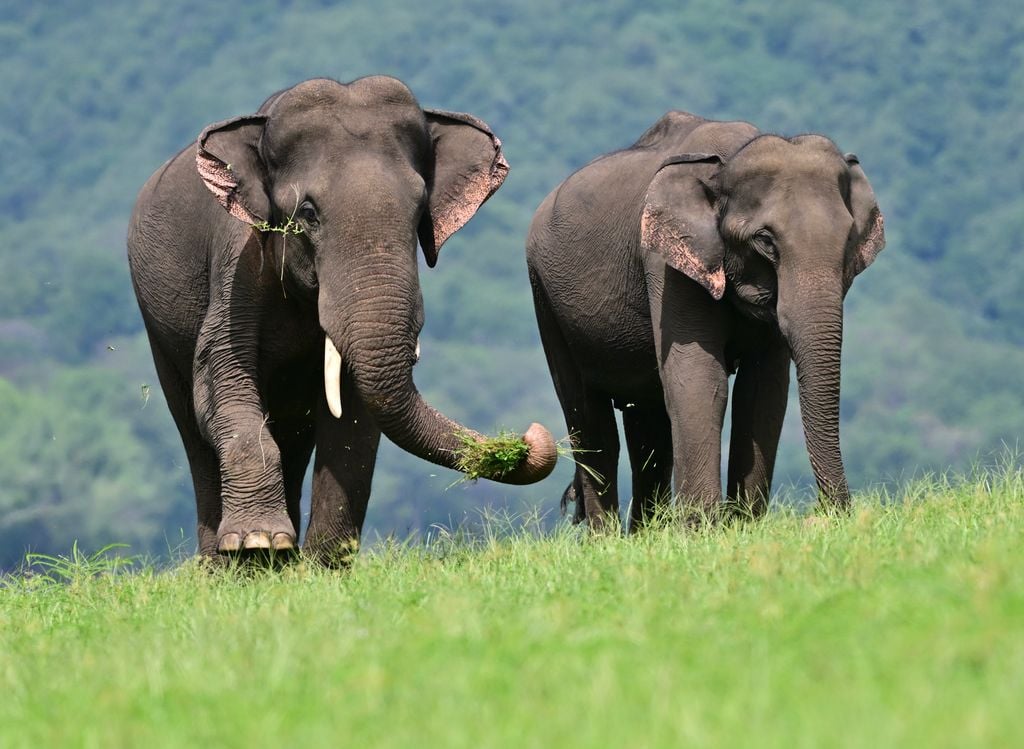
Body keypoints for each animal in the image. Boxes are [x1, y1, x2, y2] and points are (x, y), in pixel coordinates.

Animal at [127, 76, 557, 564]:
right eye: (308, 214)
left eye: (419, 211)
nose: (531, 438)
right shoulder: (239, 263)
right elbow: (223, 379)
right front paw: (258, 542)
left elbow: (354, 416)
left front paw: (321, 566)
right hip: (158, 328)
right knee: (193, 429)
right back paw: (227, 565)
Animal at [526, 111, 885, 530]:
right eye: (766, 241)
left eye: (848, 239)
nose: (830, 514)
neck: (727, 161)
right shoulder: (666, 265)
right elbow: (699, 377)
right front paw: (703, 529)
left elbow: (763, 388)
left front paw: (743, 525)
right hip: (545, 299)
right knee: (591, 423)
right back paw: (608, 537)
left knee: (648, 425)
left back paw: (646, 534)